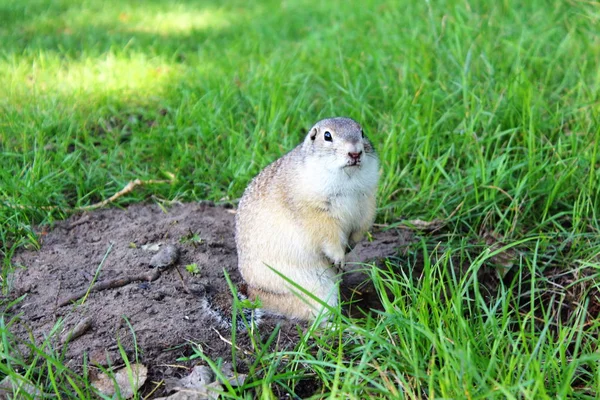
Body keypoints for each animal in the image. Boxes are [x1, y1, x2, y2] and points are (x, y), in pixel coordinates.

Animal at [236, 117, 380, 320]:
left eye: (362, 132)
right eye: (327, 136)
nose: (355, 153)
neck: (348, 182)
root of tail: (255, 294)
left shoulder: (367, 200)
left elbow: (363, 224)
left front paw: (351, 244)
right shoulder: (314, 210)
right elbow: (326, 233)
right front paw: (339, 256)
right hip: (312, 287)